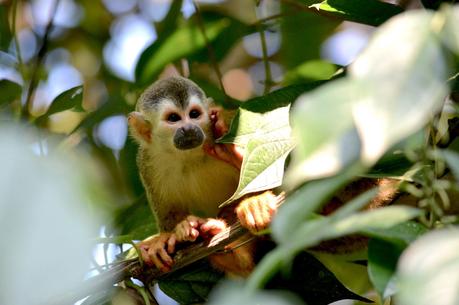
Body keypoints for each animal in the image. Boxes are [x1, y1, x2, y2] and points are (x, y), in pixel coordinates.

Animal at [127, 75, 276, 274]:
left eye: (194, 114)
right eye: (173, 118)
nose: (189, 128)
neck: (189, 156)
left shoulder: (229, 125)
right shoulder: (147, 162)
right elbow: (170, 216)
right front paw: (166, 238)